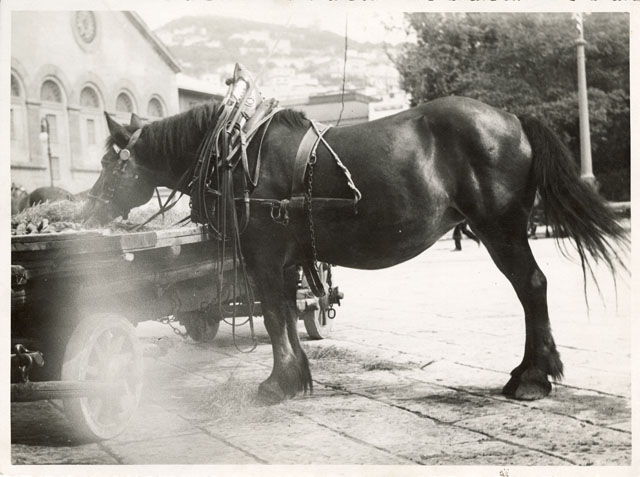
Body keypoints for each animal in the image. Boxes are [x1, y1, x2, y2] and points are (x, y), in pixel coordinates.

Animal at [83, 97, 628, 403]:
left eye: (111, 164)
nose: (88, 210)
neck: (237, 153)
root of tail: (512, 118)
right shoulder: (286, 261)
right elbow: (286, 314)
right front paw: (295, 378)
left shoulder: (264, 256)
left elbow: (275, 316)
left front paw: (277, 384)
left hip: (501, 228)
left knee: (532, 287)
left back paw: (533, 376)